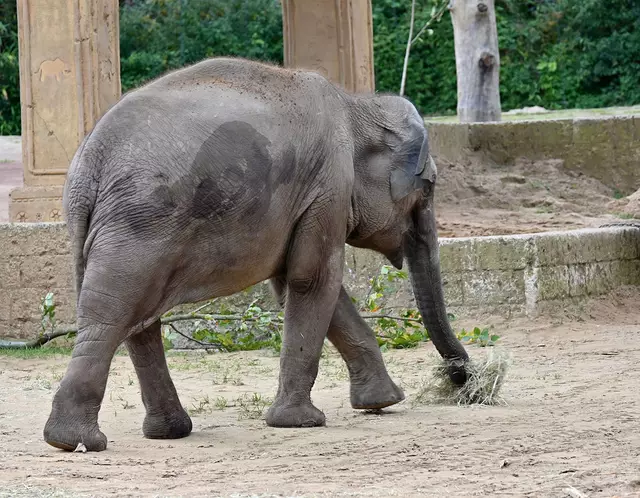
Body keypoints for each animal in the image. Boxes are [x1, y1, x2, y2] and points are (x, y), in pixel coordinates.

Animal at [44, 57, 470, 452]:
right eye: (429, 186)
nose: (461, 378)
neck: (357, 107)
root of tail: (91, 162)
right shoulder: (329, 184)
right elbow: (313, 279)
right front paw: (302, 422)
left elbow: (300, 286)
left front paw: (383, 402)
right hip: (140, 227)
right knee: (113, 314)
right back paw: (76, 441)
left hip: (107, 229)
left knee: (132, 318)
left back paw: (160, 432)